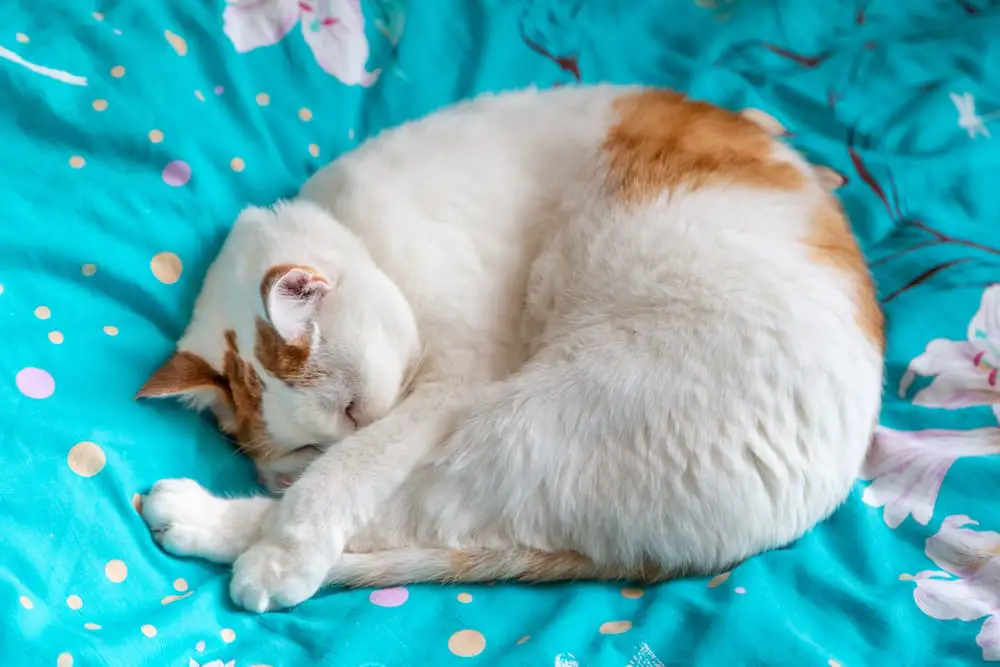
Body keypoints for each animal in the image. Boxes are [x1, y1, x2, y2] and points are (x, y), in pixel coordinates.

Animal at [135, 85, 884, 616]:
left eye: (349, 411)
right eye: (299, 444)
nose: (289, 471)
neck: (360, 230)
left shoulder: (449, 386)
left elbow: (346, 474)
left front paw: (291, 534)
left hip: (520, 416)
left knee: (405, 511)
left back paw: (209, 525)